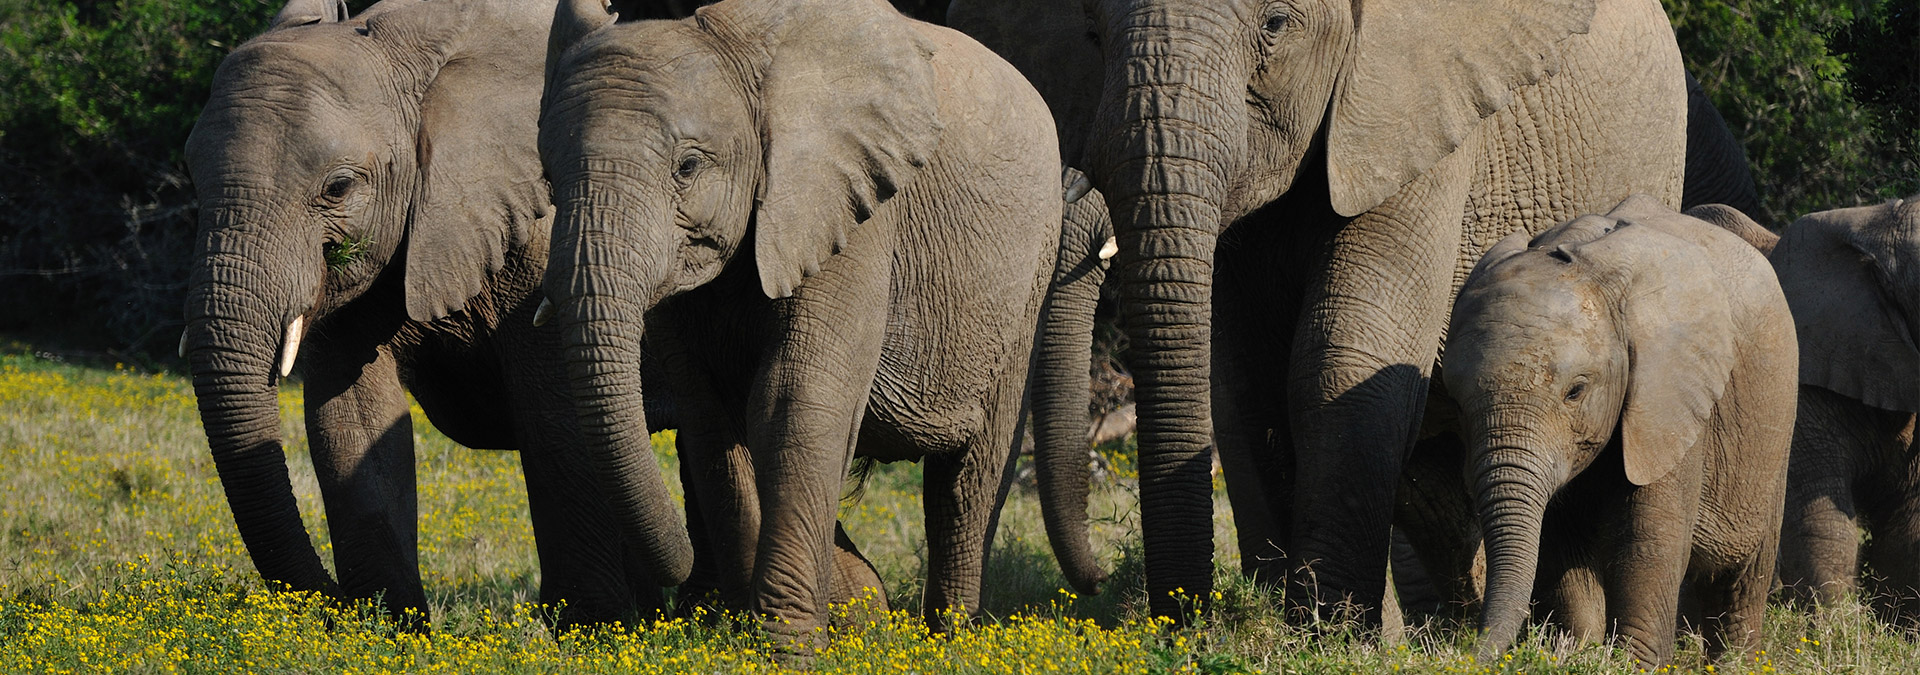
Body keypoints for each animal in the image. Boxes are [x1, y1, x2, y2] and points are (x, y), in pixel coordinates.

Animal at [536, 0, 1062, 651]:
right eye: (547, 178)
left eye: (688, 167)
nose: (674, 581)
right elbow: (710, 420)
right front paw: (745, 637)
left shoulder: (852, 208)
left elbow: (792, 399)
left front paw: (783, 647)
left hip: (1030, 275)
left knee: (968, 477)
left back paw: (951, 639)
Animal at [951, 0, 1690, 619]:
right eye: (1093, 33)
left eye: (1276, 25)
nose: (1105, 581)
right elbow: (1242, 382)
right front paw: (1294, 622)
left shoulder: (1414, 115)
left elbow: (1343, 355)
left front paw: (1326, 633)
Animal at [1445, 195, 1794, 666]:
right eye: (1457, 403)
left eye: (1575, 391)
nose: (1462, 651)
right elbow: (1559, 544)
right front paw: (1579, 653)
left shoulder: (1667, 399)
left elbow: (1646, 541)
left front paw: (1633, 664)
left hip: (1774, 427)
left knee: (1740, 582)